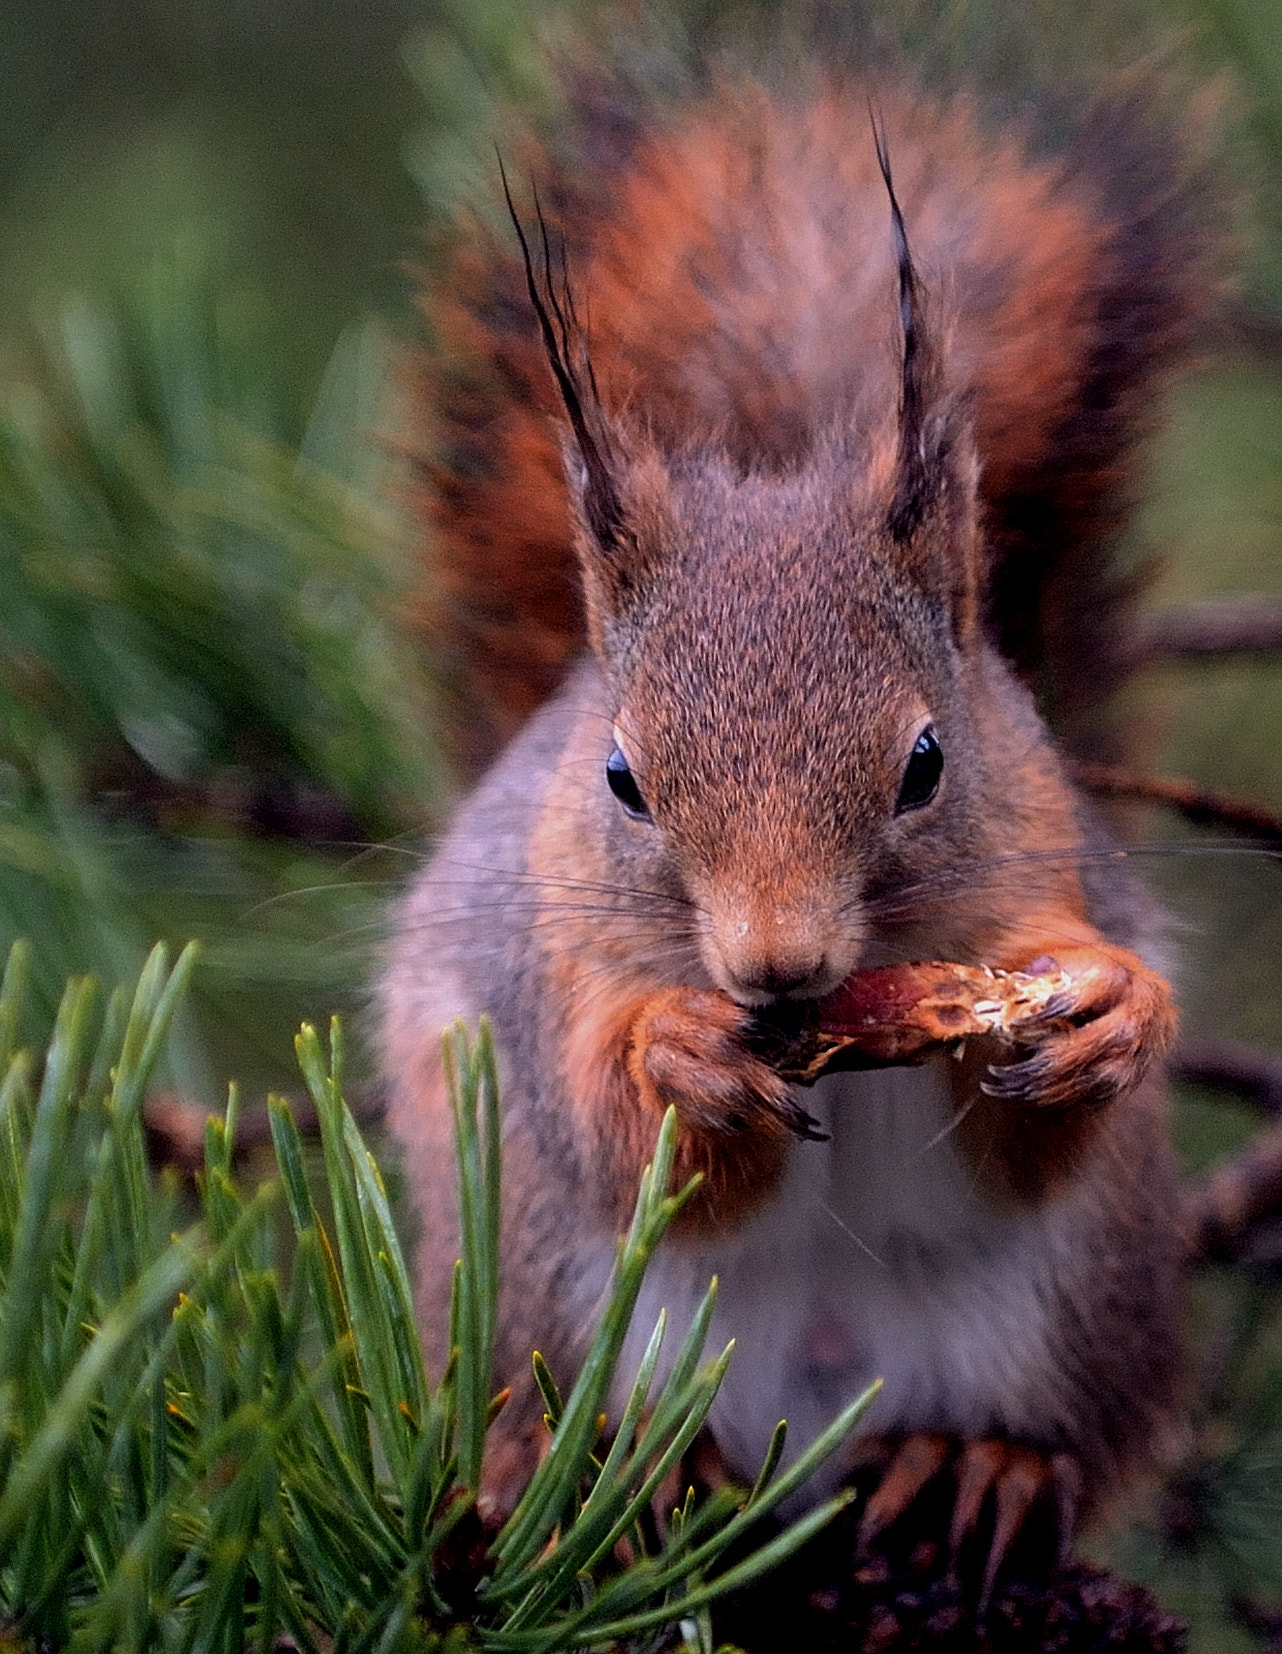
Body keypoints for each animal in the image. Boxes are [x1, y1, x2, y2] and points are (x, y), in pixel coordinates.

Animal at [381, 61, 1220, 1587]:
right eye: (620, 779)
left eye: (928, 762)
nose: (772, 967)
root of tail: (804, 1424)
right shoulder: (543, 968)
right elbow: (611, 1134)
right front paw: (676, 1055)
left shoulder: (1052, 869)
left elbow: (1031, 1142)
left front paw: (1108, 1013)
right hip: (527, 1281)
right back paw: (603, 1467)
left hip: (1077, 1296)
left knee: (1064, 1426)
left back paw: (981, 1462)